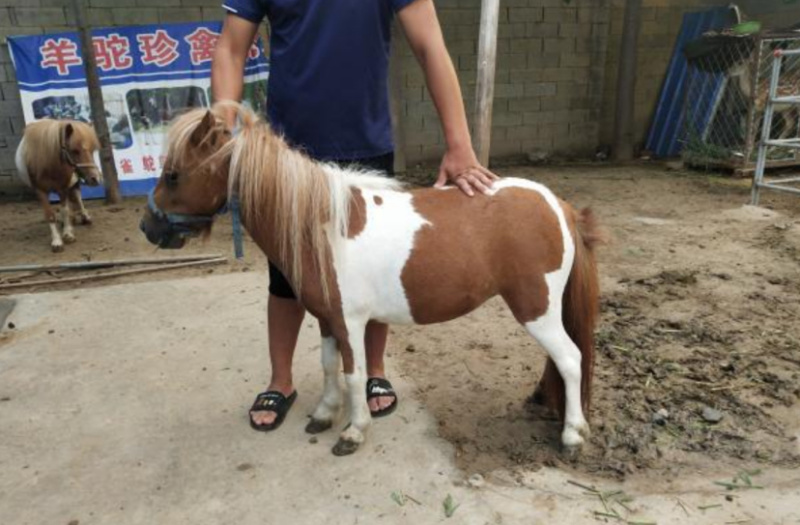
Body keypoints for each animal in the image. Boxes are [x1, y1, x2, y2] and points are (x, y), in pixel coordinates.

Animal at [15, 119, 102, 252]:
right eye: (75, 150)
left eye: (92, 150)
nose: (95, 178)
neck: (49, 164)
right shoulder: (40, 191)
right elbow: (50, 215)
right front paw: (57, 241)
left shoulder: (63, 189)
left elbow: (65, 210)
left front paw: (68, 234)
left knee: (77, 196)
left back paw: (84, 217)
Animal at [140, 102, 603, 457]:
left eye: (174, 174)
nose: (148, 227)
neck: (323, 225)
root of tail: (559, 206)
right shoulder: (327, 317)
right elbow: (329, 366)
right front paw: (324, 414)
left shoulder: (350, 322)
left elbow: (354, 374)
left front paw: (353, 431)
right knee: (558, 361)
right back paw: (543, 404)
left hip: (536, 308)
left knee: (569, 359)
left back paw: (571, 435)